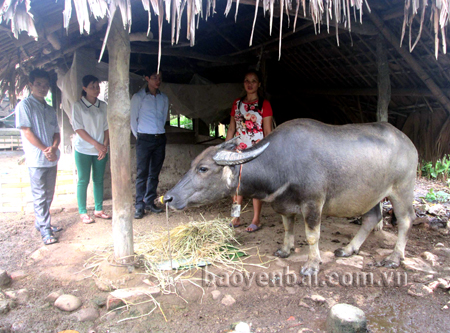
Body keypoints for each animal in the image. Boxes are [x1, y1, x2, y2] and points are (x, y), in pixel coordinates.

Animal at [163, 118, 418, 274]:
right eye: (192, 165)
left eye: (203, 169)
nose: (168, 198)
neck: (280, 163)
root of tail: (409, 144)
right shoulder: (283, 204)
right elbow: (287, 228)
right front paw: (285, 251)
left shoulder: (313, 203)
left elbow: (312, 235)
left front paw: (312, 264)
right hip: (371, 195)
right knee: (372, 218)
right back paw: (348, 249)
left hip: (402, 190)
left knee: (406, 220)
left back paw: (394, 258)